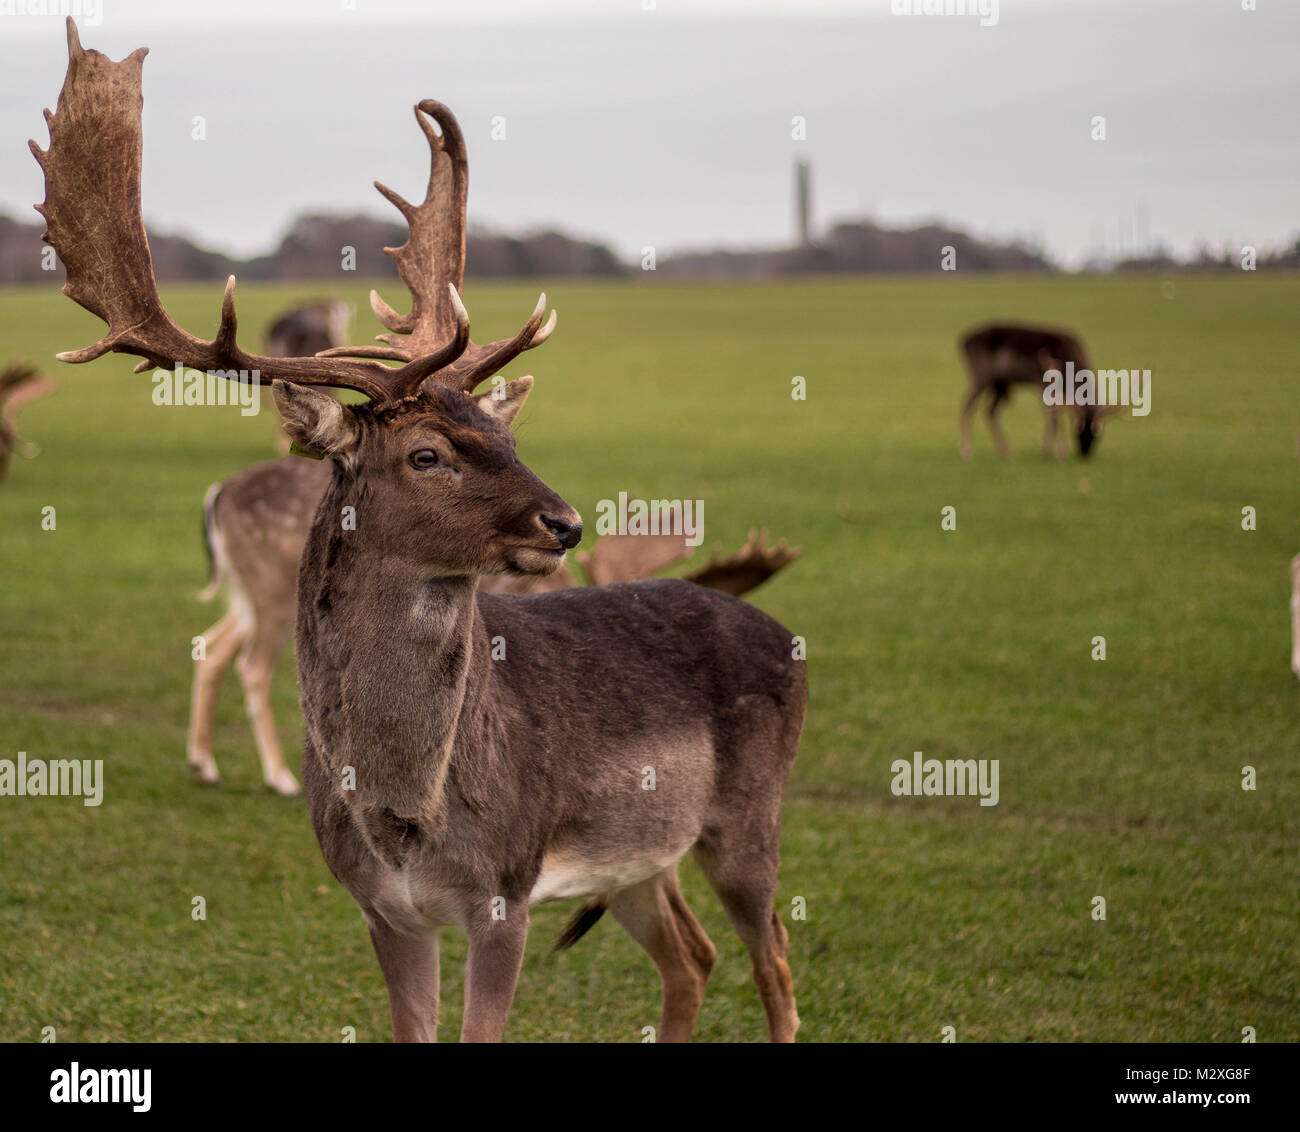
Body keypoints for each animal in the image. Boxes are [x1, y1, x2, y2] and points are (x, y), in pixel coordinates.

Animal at [187, 447, 795, 800]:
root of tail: (217, 494)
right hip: (268, 588)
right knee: (250, 665)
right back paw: (278, 776)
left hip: (252, 593)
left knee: (212, 645)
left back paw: (204, 763)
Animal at [956, 321, 1107, 457]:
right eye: (1078, 431)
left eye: (1098, 434)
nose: (1085, 453)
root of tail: (964, 342)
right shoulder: (1041, 382)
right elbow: (1053, 416)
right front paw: (1059, 452)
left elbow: (1052, 415)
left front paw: (1048, 450)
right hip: (981, 376)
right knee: (966, 405)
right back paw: (966, 451)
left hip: (1001, 384)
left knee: (990, 411)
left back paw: (1006, 451)